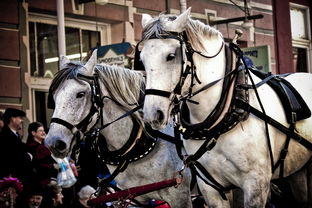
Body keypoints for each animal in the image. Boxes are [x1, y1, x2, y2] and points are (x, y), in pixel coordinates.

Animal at [140, 7, 312, 207]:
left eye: (171, 56)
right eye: (141, 60)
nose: (153, 115)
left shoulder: (256, 184)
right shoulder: (210, 187)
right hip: (297, 171)